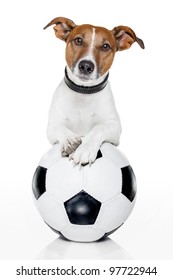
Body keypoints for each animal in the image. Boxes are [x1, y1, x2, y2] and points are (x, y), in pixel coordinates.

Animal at [43, 17, 145, 165]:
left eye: (105, 46)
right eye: (78, 40)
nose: (86, 66)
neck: (84, 93)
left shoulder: (115, 128)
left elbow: (99, 127)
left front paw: (85, 148)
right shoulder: (52, 126)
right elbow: (59, 128)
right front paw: (70, 141)